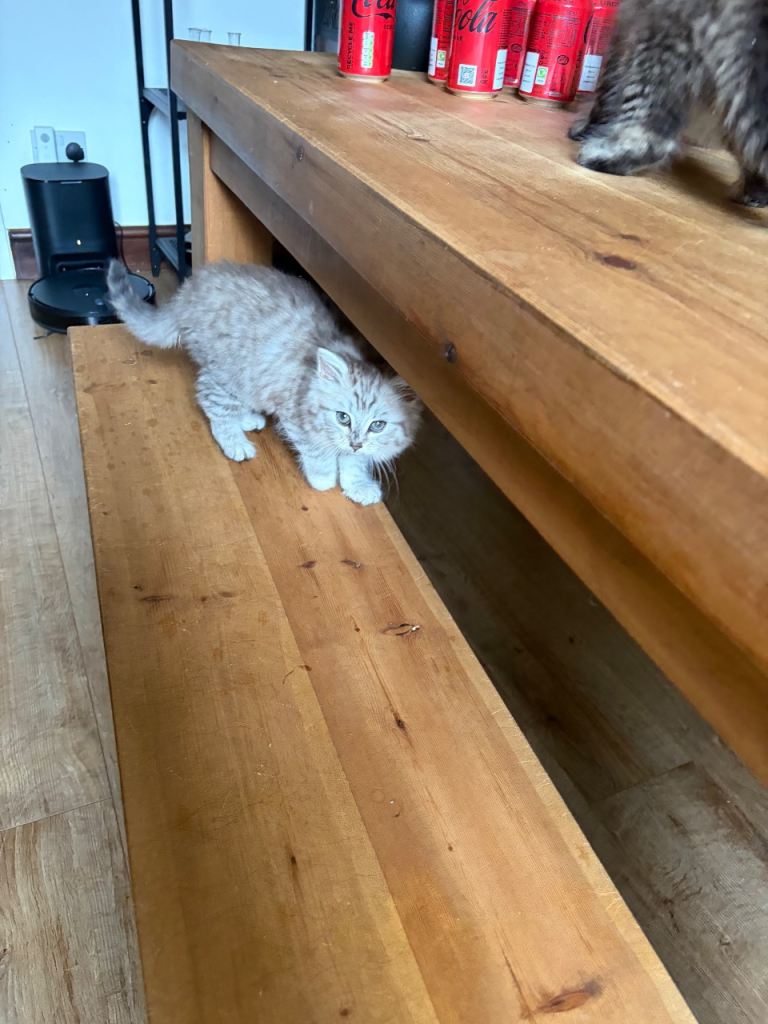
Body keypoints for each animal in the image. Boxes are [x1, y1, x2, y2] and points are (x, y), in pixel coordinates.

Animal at [107, 260, 421, 506]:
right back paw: (235, 440)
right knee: (211, 403)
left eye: (377, 425)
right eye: (343, 417)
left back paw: (247, 418)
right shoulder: (295, 415)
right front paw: (323, 476)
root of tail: (190, 289)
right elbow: (317, 451)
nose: (355, 442)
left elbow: (355, 462)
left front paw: (358, 483)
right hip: (226, 371)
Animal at [569, 0, 768, 206]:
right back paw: (754, 192)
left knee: (652, 138)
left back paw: (602, 155)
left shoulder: (627, 31)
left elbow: (607, 92)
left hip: (660, 42)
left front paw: (586, 127)